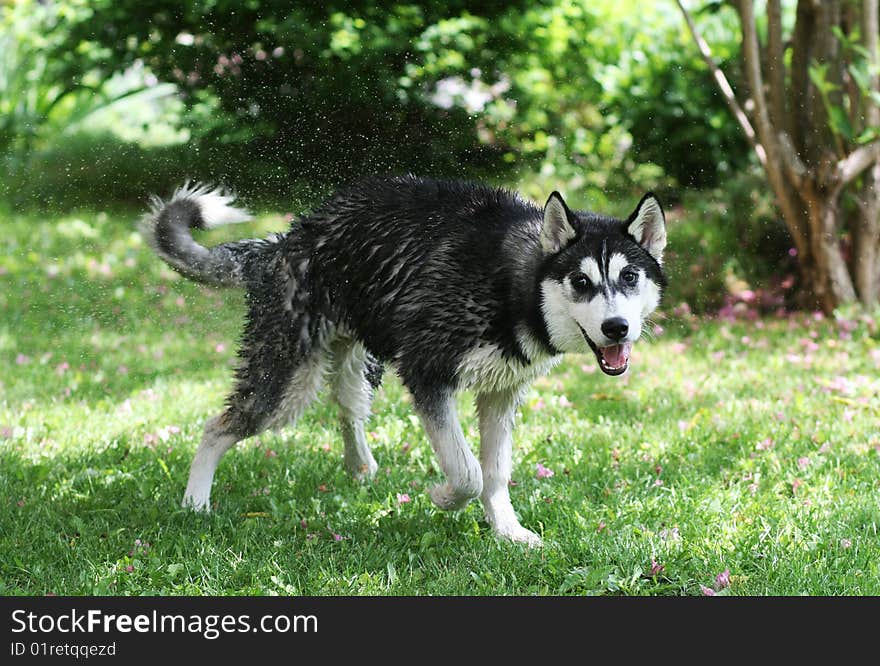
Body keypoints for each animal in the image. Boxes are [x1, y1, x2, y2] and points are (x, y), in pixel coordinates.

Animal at [143, 176, 668, 544]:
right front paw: (444, 497)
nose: (616, 328)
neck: (512, 286)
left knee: (347, 408)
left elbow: (495, 474)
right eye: (580, 282)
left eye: (629, 277)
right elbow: (468, 472)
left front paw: (507, 532)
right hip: (286, 385)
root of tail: (282, 243)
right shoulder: (426, 373)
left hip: (360, 365)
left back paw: (360, 467)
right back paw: (195, 504)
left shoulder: (502, 391)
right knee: (218, 426)